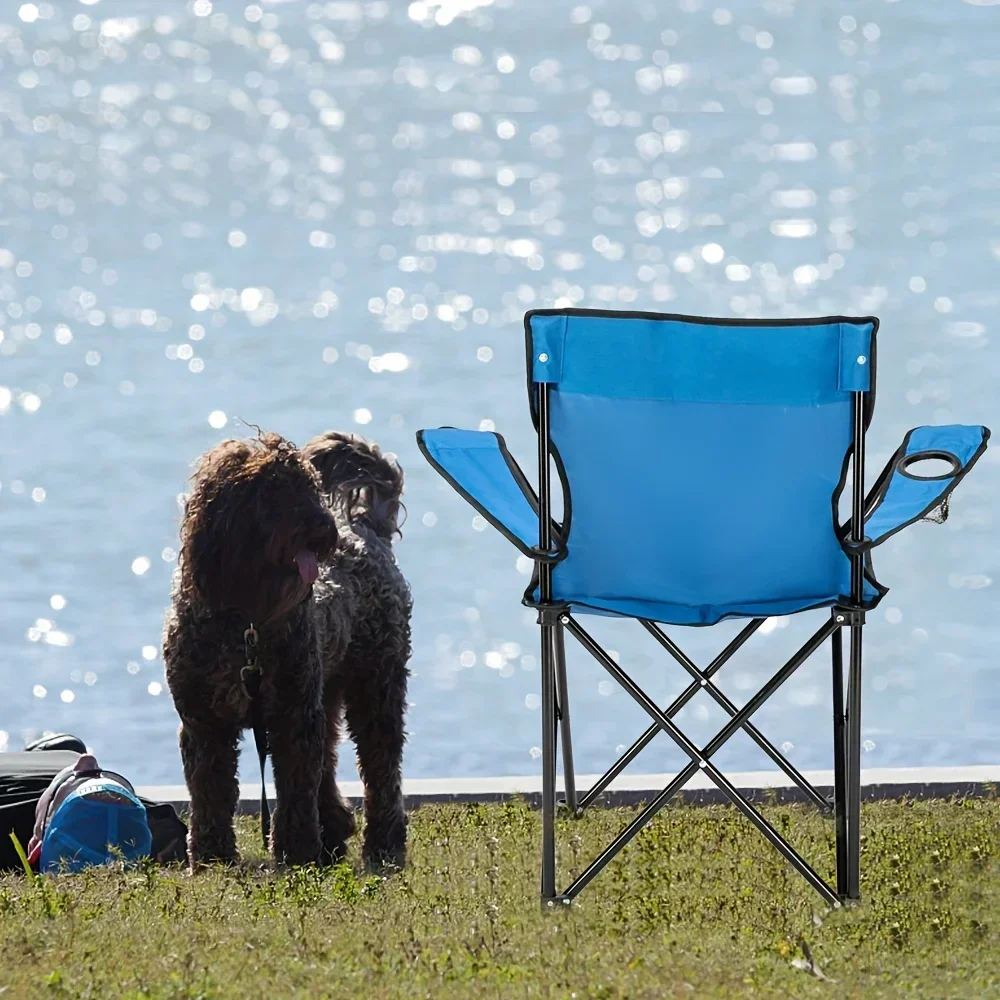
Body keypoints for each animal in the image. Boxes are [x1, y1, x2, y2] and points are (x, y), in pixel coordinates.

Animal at [163, 430, 410, 868]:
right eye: (272, 491)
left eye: (310, 487)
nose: (323, 527)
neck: (245, 621)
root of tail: (364, 528)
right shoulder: (205, 723)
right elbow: (209, 792)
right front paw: (211, 856)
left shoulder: (290, 717)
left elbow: (295, 788)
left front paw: (296, 852)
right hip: (325, 693)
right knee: (328, 759)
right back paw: (334, 831)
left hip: (375, 688)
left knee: (381, 768)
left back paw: (383, 842)